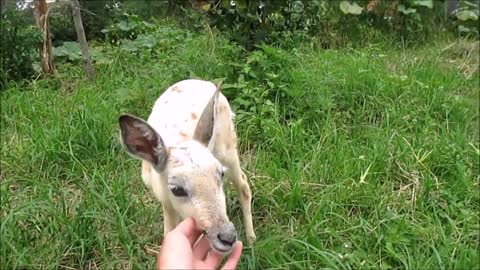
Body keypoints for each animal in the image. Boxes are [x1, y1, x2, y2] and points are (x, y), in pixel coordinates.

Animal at [118, 78, 256, 253]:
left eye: (221, 174)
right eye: (177, 189)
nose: (227, 237)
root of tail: (199, 81)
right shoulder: (165, 202)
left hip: (228, 148)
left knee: (243, 185)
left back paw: (252, 238)